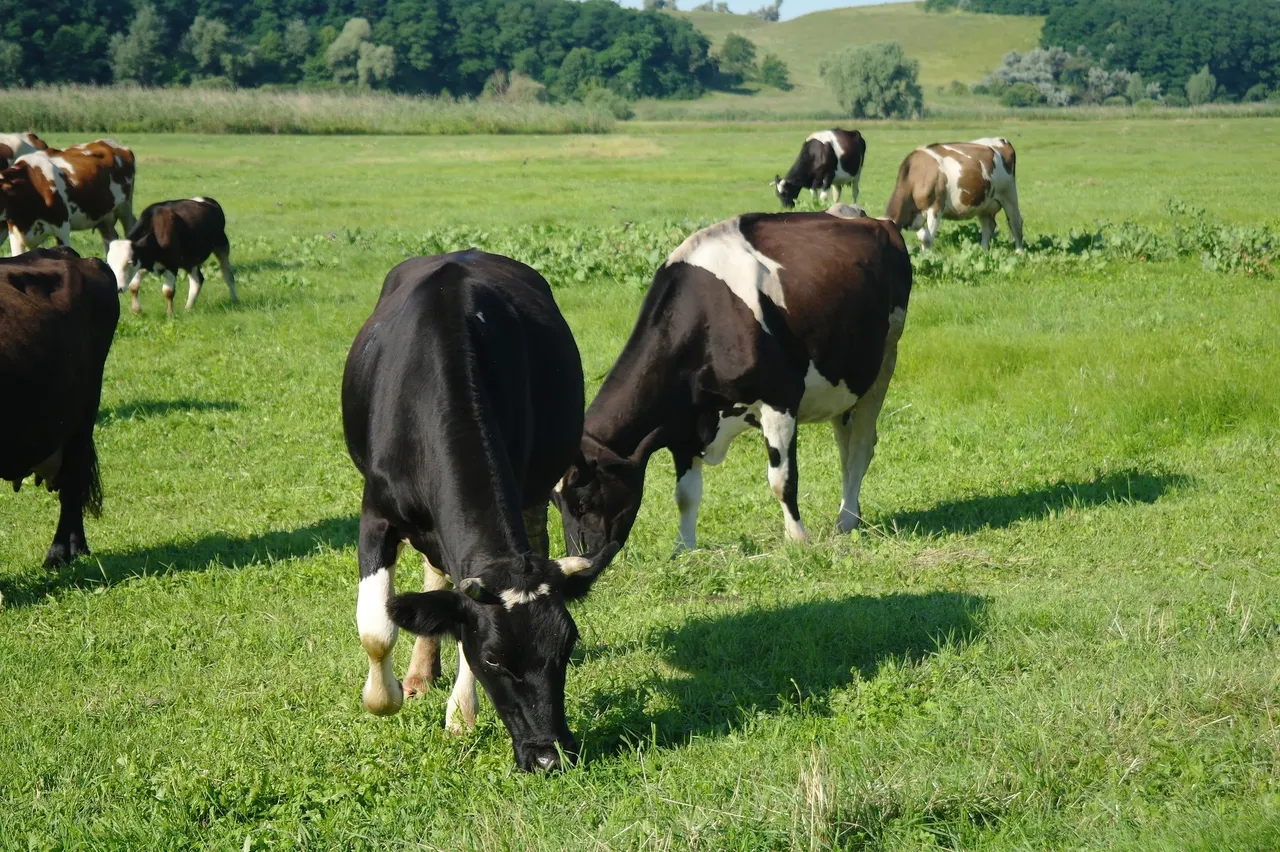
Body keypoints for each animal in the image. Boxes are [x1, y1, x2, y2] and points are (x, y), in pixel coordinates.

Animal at [107, 197, 238, 317]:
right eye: (110, 265)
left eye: (130, 262)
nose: (118, 288)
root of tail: (208, 200)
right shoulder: (143, 263)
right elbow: (134, 286)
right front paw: (136, 310)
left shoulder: (171, 265)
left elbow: (168, 291)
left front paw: (170, 314)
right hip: (190, 259)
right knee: (197, 280)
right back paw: (188, 308)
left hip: (222, 245)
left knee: (228, 275)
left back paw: (235, 300)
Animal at [342, 250, 618, 772]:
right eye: (493, 658)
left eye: (566, 647)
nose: (549, 756)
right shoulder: (376, 512)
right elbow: (376, 629)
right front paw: (385, 697)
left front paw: (460, 715)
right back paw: (418, 674)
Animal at [551, 211, 912, 563]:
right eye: (556, 505)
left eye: (583, 502)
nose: (579, 558)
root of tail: (870, 218)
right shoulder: (683, 425)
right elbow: (685, 495)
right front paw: (683, 550)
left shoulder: (779, 401)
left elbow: (782, 480)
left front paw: (797, 539)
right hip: (843, 385)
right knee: (845, 448)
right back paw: (850, 514)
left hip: (884, 360)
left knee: (861, 447)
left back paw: (847, 519)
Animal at [885, 137, 1023, 252]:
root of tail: (1002, 140)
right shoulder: (915, 215)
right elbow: (923, 237)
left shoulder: (936, 207)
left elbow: (928, 239)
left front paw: (927, 257)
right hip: (984, 204)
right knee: (988, 226)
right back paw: (983, 251)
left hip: (1009, 194)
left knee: (1015, 223)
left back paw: (1019, 252)